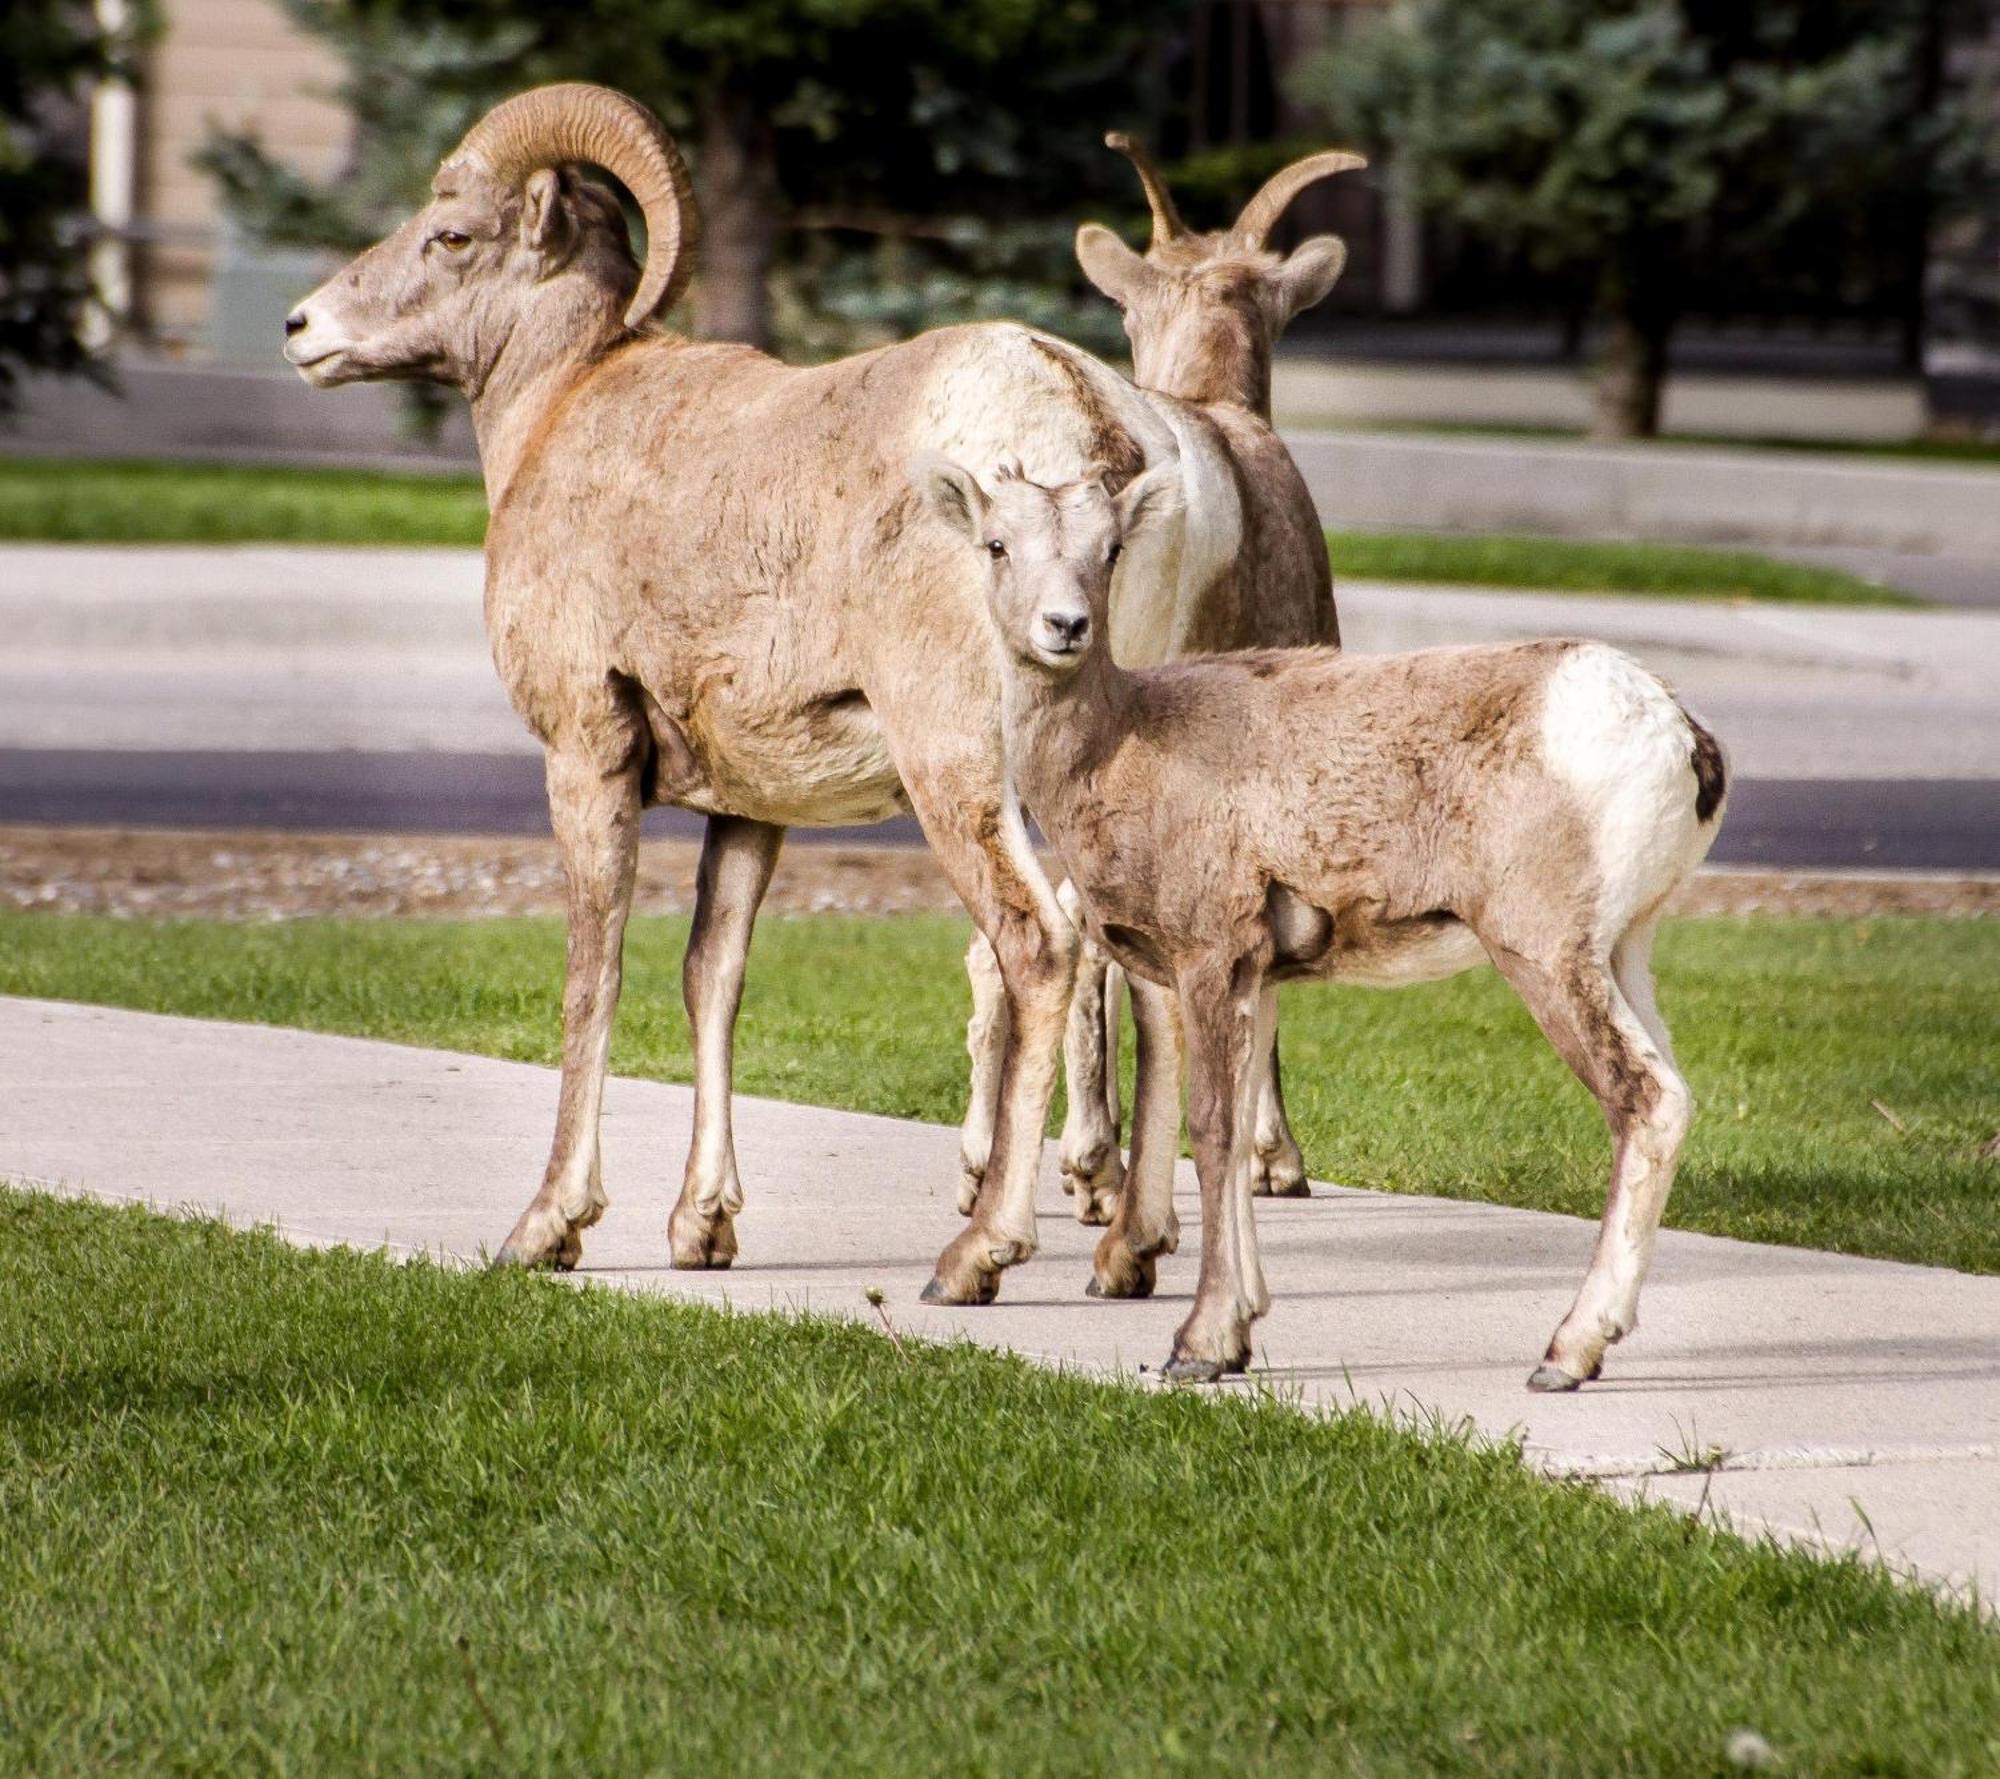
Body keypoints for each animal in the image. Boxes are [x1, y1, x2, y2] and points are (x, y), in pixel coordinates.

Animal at [282, 82, 1240, 1295]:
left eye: (449, 236)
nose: (301, 329)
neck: (563, 410)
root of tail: (1102, 436)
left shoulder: (586, 755)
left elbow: (594, 975)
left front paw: (547, 1228)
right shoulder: (751, 807)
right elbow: (713, 977)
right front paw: (702, 1230)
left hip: (960, 772)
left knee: (1037, 950)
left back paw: (977, 1255)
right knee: (1146, 975)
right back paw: (1128, 1254)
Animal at [916, 457, 1720, 1383]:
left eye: (1110, 548)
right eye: (996, 543)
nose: (1065, 626)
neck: (1122, 741)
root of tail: (1674, 733)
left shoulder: (1210, 958)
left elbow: (1213, 1131)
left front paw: (1198, 1346)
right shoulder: (1255, 980)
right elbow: (1234, 1146)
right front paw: (1238, 1331)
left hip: (1547, 955)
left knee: (1644, 1101)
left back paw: (1566, 1352)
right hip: (1625, 953)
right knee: (1675, 1097)